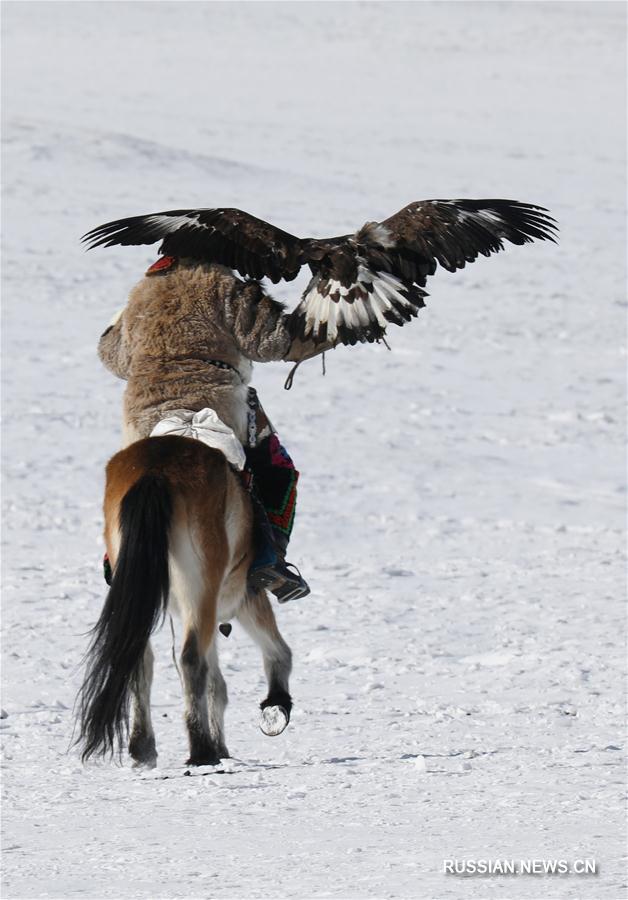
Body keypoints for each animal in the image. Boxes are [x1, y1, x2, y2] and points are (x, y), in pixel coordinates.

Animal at [76, 436, 292, 768]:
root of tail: (154, 472)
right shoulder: (244, 598)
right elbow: (277, 652)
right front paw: (276, 706)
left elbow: (217, 683)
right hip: (202, 589)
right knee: (191, 659)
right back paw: (201, 751)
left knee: (140, 659)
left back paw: (144, 748)